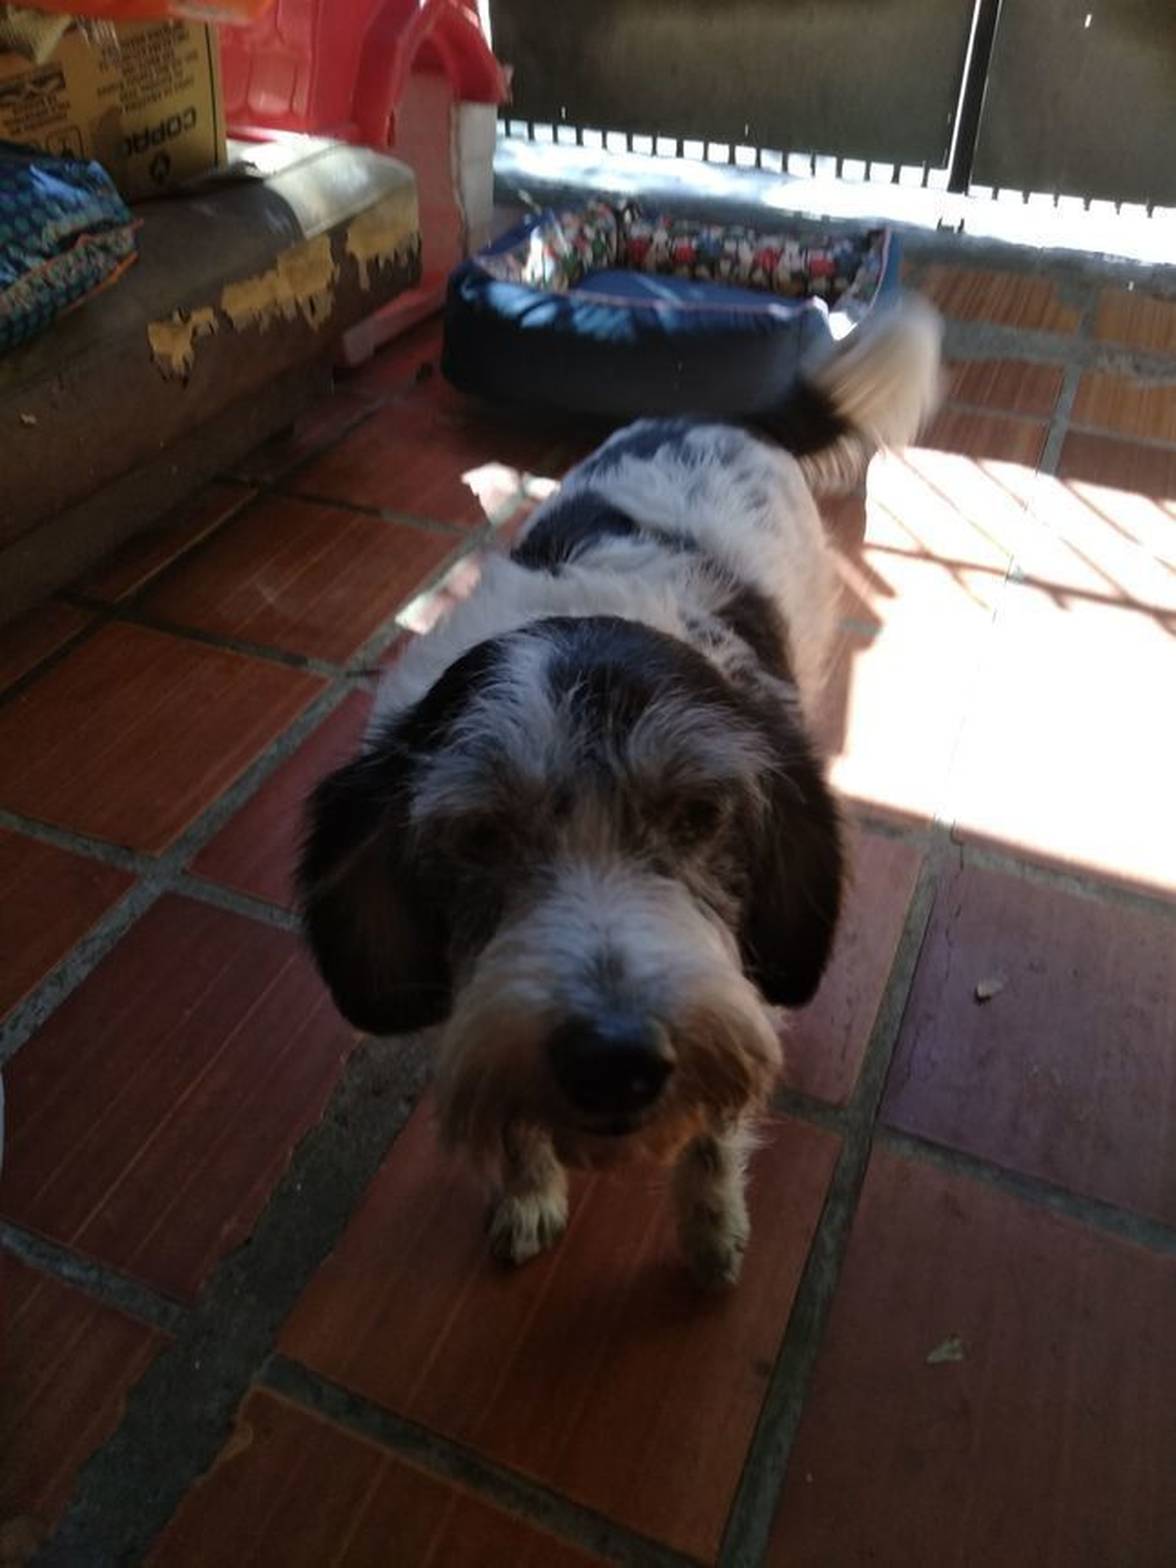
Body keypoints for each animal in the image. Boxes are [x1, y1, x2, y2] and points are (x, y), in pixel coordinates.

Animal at [299, 297, 941, 1286]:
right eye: (478, 836)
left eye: (700, 813)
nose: (614, 1061)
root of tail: (728, 418)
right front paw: (528, 1192)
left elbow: (714, 1135)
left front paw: (711, 1229)